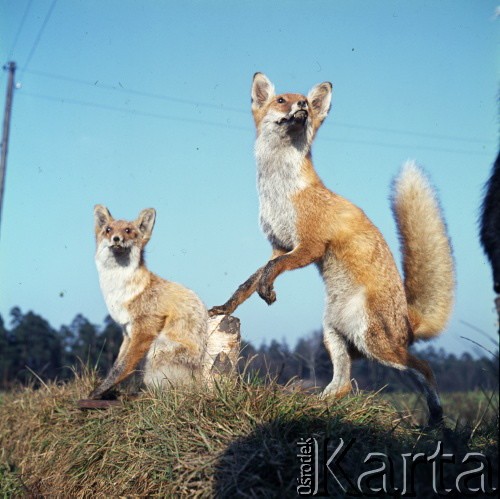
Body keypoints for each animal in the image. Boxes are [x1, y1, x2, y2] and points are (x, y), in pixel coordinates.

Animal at [90, 205, 209, 400]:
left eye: (128, 230)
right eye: (108, 230)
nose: (116, 238)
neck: (121, 292)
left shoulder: (145, 329)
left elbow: (122, 369)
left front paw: (97, 392)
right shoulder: (127, 332)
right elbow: (116, 366)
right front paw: (105, 390)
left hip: (157, 349)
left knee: (165, 391)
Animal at [209, 73, 456, 426]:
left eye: (306, 103)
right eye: (282, 100)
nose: (302, 105)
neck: (280, 192)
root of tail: (408, 321)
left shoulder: (309, 245)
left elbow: (270, 272)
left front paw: (267, 291)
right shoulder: (279, 245)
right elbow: (248, 282)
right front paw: (225, 307)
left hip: (375, 343)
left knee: (425, 367)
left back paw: (436, 416)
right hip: (334, 335)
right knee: (342, 386)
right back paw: (311, 407)